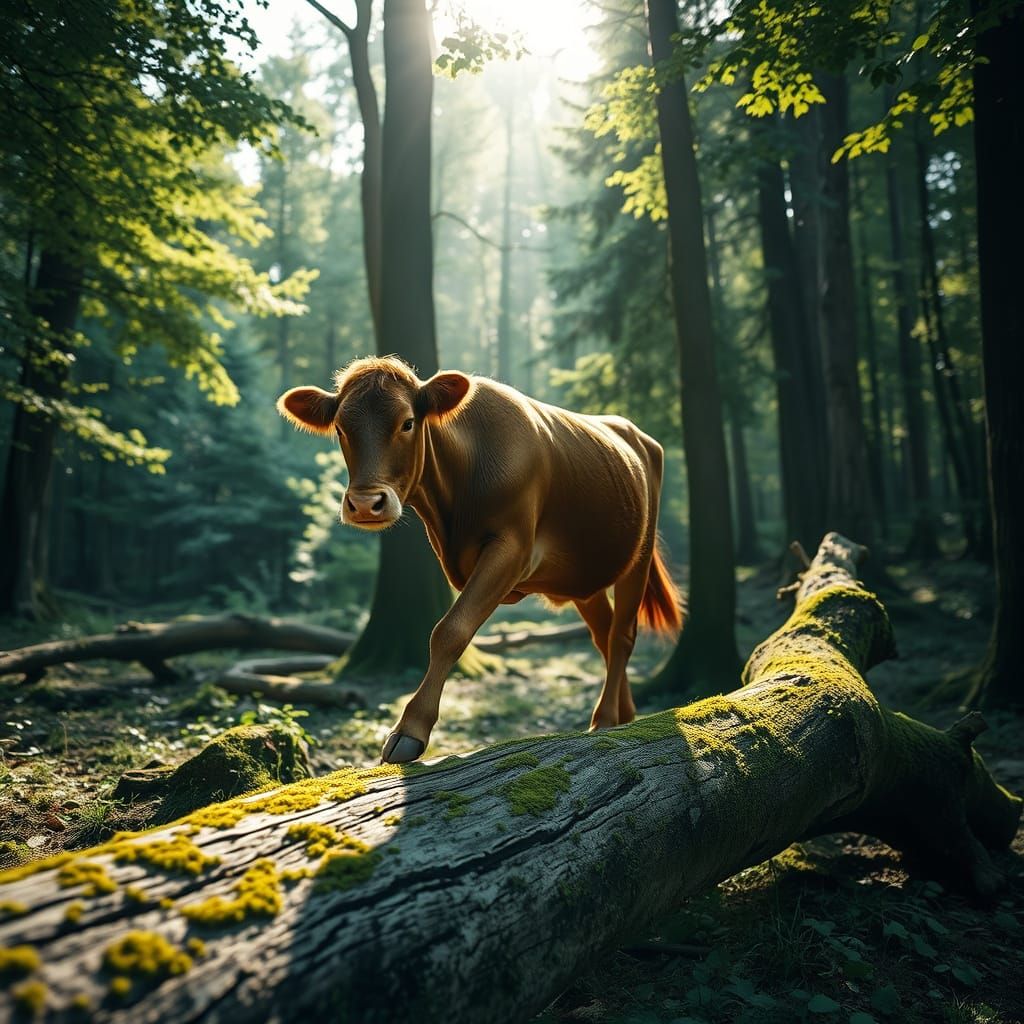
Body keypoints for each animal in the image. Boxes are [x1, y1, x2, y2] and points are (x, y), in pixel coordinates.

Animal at [278, 355, 683, 764]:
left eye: (407, 422)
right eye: (340, 429)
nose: (364, 504)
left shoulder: (511, 550)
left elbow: (450, 630)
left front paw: (409, 730)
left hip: (639, 556)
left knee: (622, 635)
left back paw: (605, 719)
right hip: (583, 575)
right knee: (604, 635)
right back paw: (625, 714)